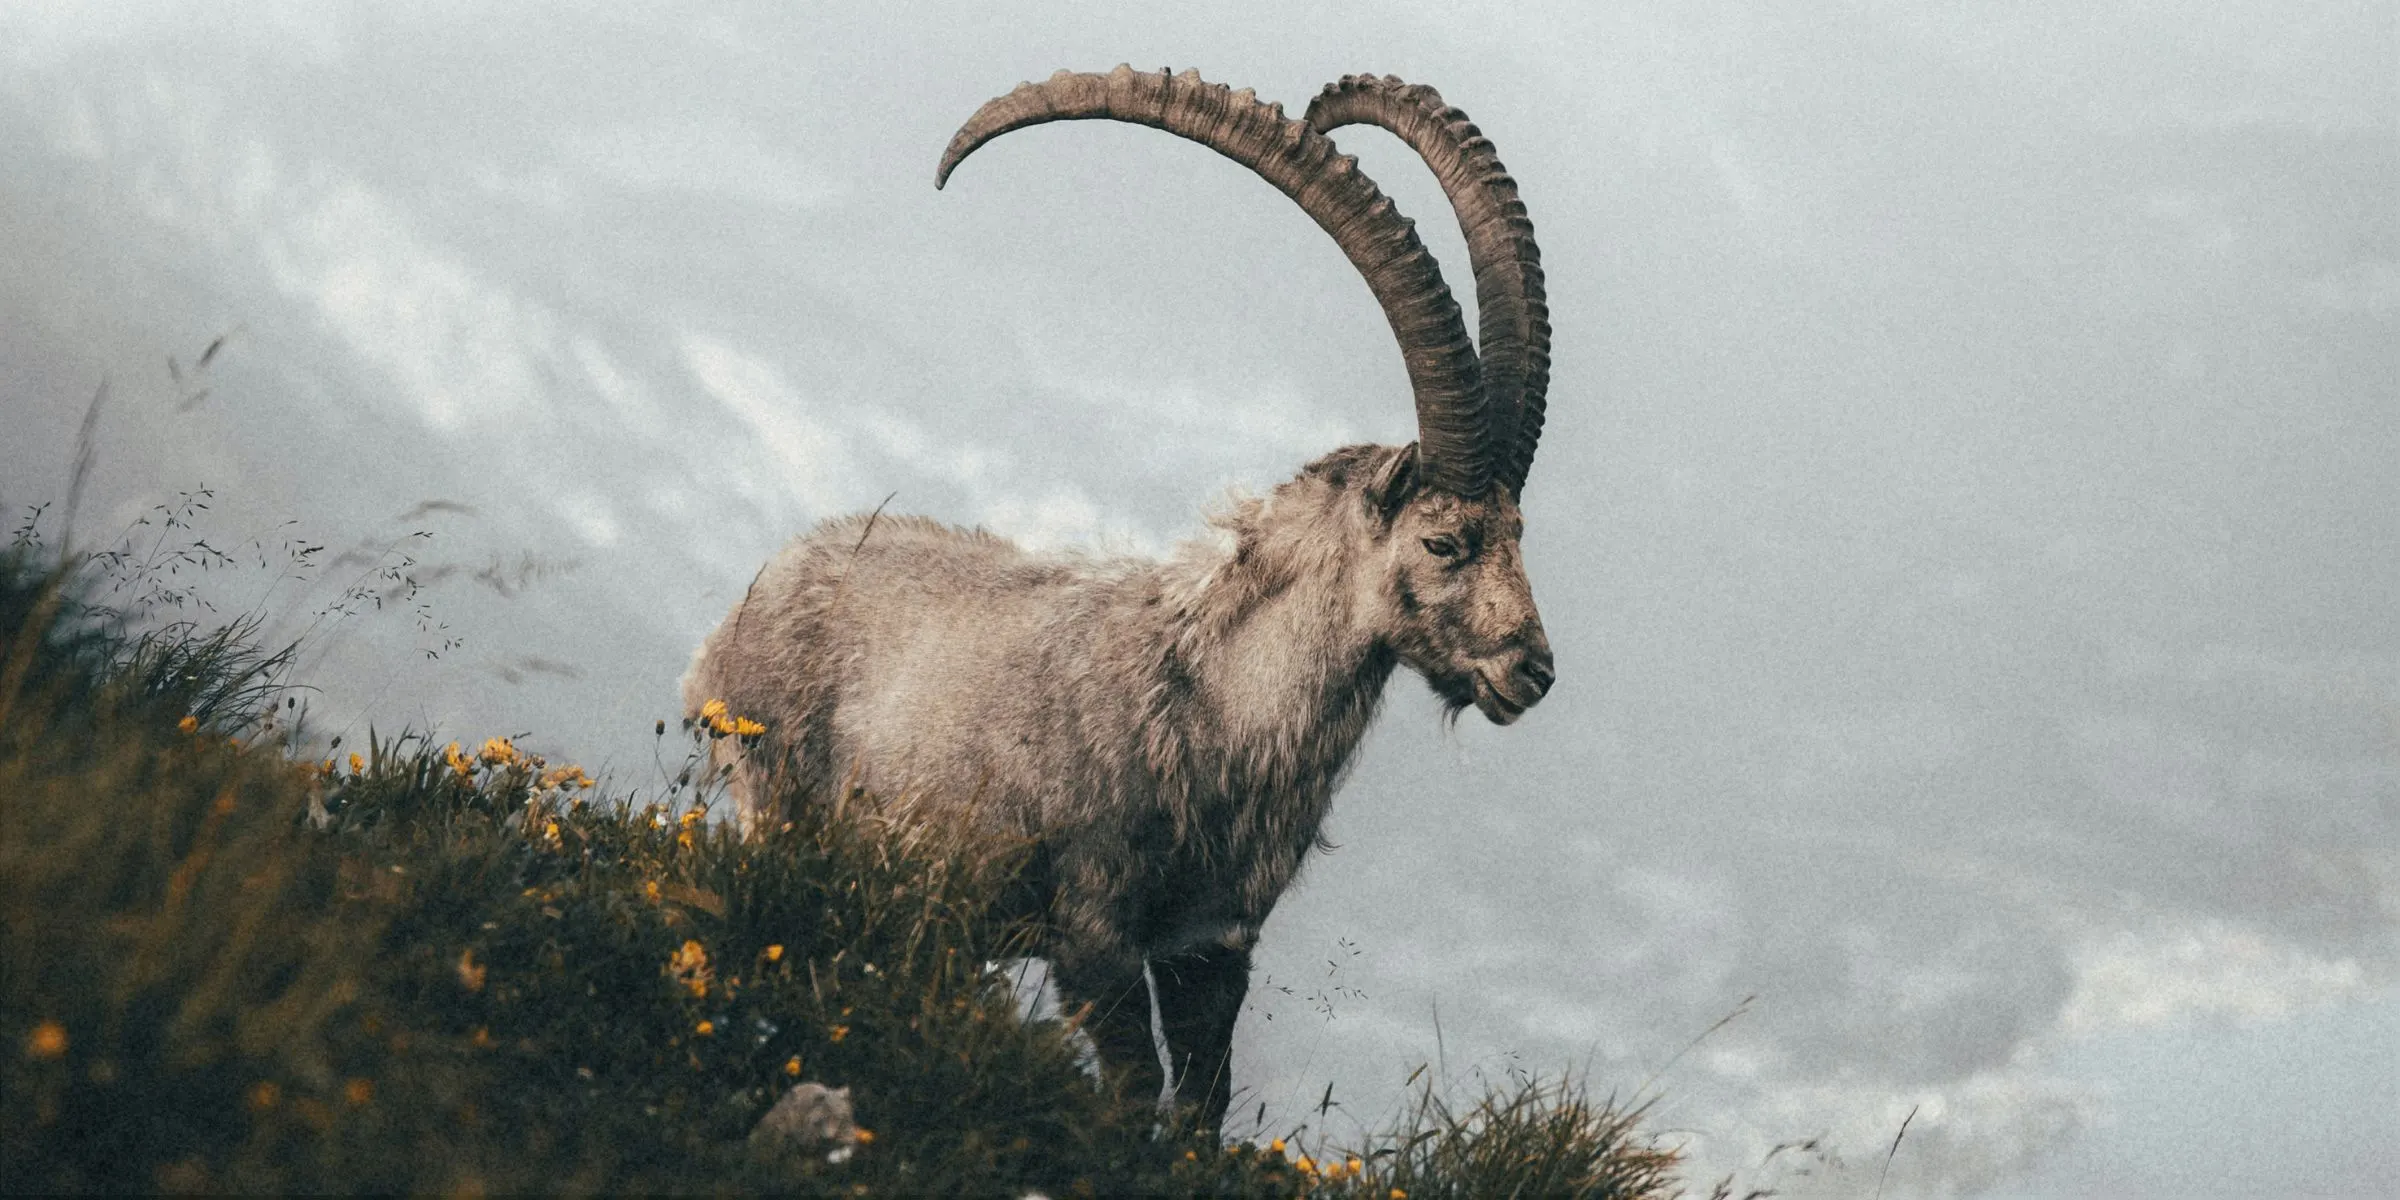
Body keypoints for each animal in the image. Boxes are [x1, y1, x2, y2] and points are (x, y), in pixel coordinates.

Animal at [684, 67, 1555, 1130]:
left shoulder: (1210, 947)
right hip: (781, 807)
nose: (1533, 670)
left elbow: (1201, 1108)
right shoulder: (1093, 933)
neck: (1213, 705)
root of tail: (746, 608)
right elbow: (1135, 1093)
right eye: (1443, 540)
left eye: (1521, 536)